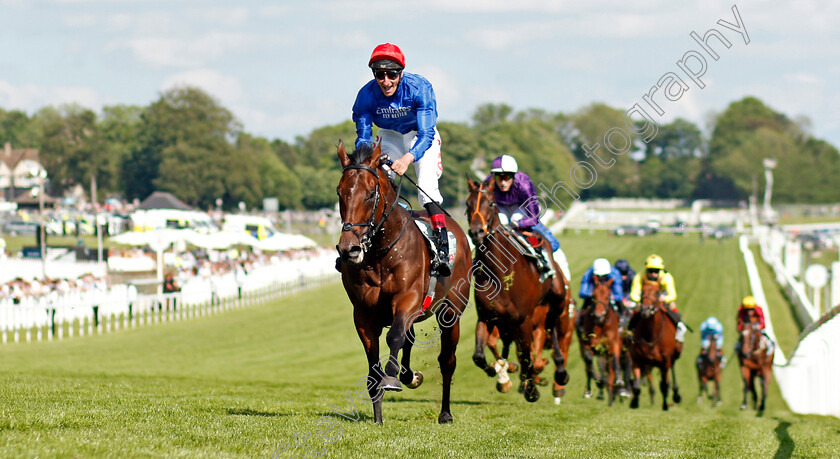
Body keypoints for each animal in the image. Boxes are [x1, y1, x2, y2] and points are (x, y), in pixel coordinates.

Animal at [334, 142, 472, 426]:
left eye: (370, 193)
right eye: (340, 192)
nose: (349, 249)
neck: (380, 253)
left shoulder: (407, 299)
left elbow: (394, 336)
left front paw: (392, 378)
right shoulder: (363, 313)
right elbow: (373, 366)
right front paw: (378, 417)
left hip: (451, 312)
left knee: (447, 360)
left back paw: (445, 413)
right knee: (410, 338)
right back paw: (409, 375)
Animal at [466, 176, 572, 402]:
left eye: (491, 204)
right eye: (467, 204)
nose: (476, 232)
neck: (500, 272)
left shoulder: (524, 320)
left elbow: (526, 355)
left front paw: (531, 389)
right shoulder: (486, 317)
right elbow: (478, 355)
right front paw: (497, 371)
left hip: (556, 299)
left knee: (552, 328)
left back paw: (560, 371)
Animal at [576, 276, 624, 406]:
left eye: (608, 296)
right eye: (593, 296)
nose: (599, 315)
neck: (601, 325)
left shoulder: (613, 343)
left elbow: (615, 362)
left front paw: (618, 382)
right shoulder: (587, 343)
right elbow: (589, 361)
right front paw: (598, 380)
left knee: (608, 367)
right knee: (590, 367)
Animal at [632, 282, 684, 412]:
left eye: (657, 293)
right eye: (642, 291)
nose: (645, 311)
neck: (651, 335)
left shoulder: (665, 360)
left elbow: (664, 386)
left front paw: (665, 406)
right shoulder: (637, 358)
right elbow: (636, 385)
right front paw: (634, 403)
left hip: (674, 355)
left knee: (671, 370)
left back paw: (676, 394)